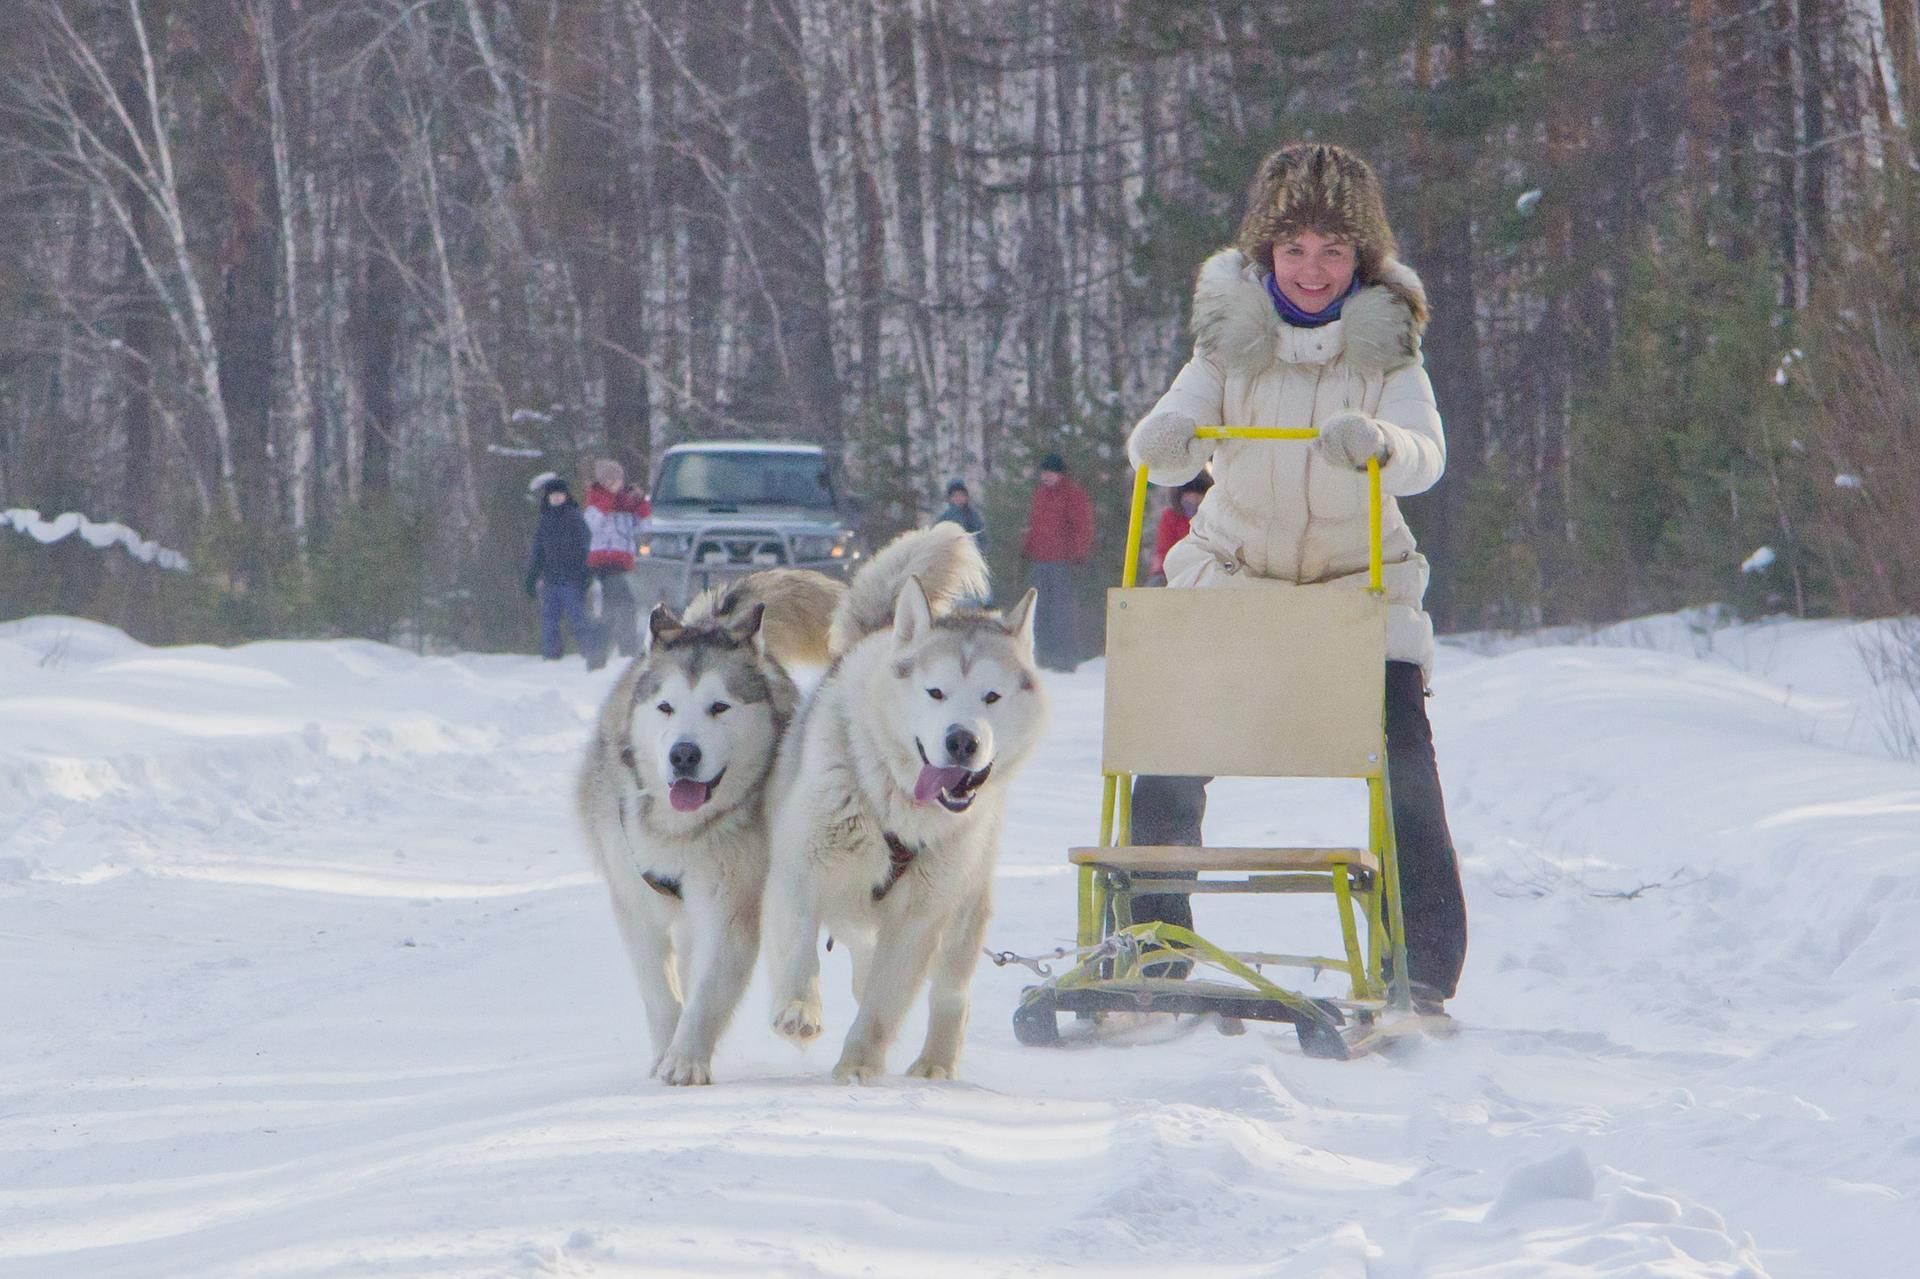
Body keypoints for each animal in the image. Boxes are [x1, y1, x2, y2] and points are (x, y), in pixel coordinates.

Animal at [568, 572, 840, 1083]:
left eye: (719, 707)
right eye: (666, 707)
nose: (683, 754)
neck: (681, 831)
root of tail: (710, 619)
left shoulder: (731, 904)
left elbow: (709, 990)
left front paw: (686, 1059)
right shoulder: (635, 905)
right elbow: (660, 991)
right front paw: (665, 1053)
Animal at [760, 522, 1052, 1083]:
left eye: (991, 697)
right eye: (935, 692)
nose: (962, 741)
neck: (893, 805)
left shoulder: (920, 919)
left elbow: (883, 1004)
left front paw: (859, 1062)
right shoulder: (798, 872)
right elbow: (799, 953)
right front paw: (799, 1010)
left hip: (962, 915)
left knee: (949, 994)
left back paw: (936, 1061)